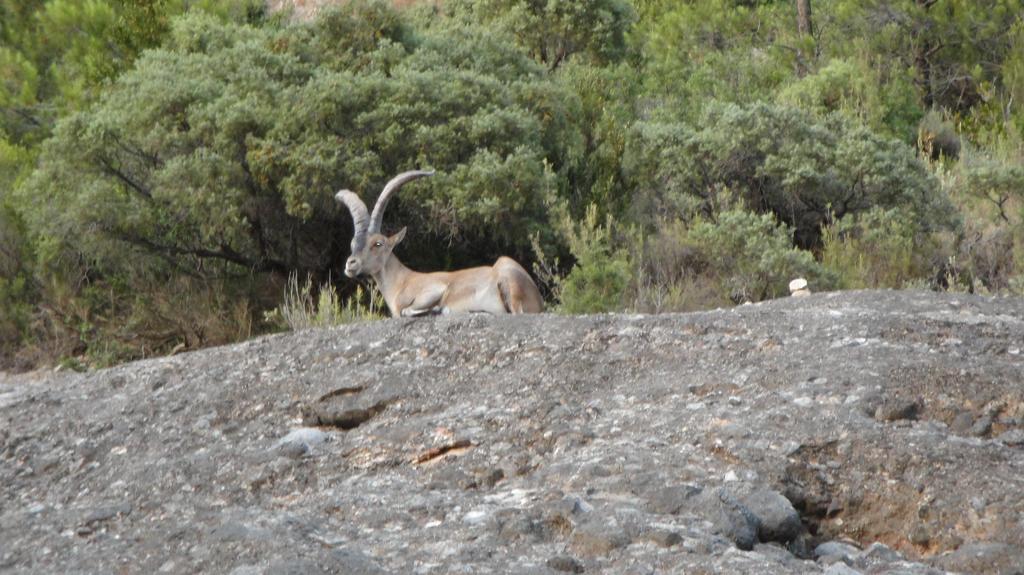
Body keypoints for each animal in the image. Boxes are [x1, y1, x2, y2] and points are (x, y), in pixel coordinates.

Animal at [335, 167, 544, 315]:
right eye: (353, 243)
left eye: (378, 243)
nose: (350, 264)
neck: (402, 281)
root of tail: (538, 299)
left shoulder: (435, 288)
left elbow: (409, 309)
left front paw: (435, 309)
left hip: (507, 273)